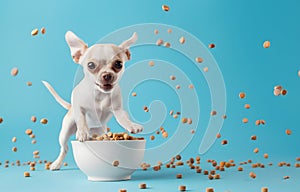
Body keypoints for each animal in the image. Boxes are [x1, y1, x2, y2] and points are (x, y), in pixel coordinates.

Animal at [42, 30, 144, 170]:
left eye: (119, 64)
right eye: (90, 65)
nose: (107, 75)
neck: (100, 94)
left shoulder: (118, 110)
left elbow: (123, 118)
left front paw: (131, 125)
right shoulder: (78, 107)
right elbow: (81, 118)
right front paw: (82, 132)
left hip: (100, 131)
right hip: (65, 131)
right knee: (65, 148)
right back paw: (57, 163)